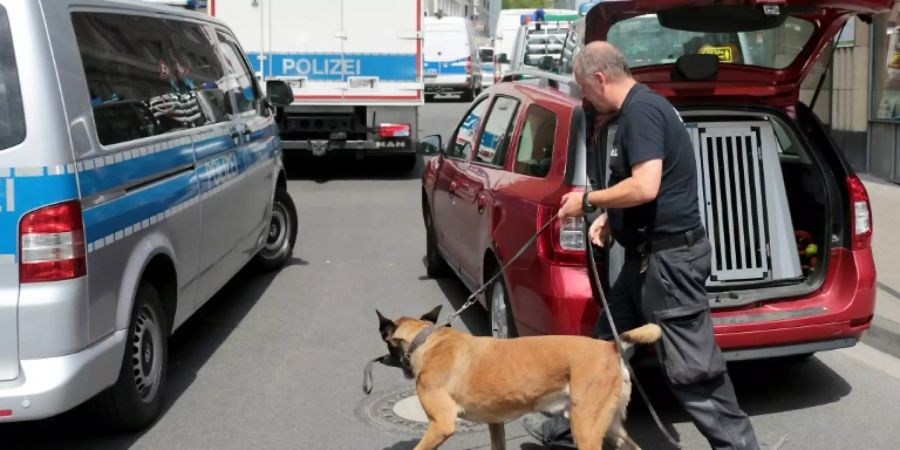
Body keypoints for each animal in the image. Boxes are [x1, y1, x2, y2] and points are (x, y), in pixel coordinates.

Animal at [376, 306, 664, 450]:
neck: (428, 340)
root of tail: (611, 347)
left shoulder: (441, 425)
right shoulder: (495, 424)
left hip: (586, 430)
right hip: (610, 426)